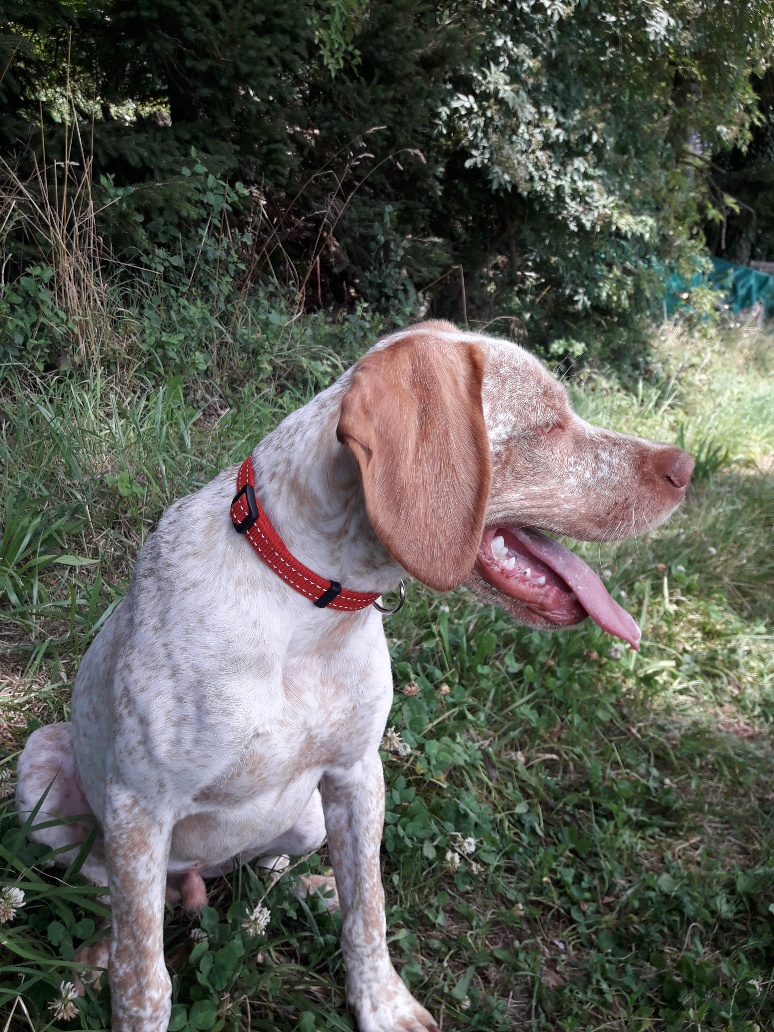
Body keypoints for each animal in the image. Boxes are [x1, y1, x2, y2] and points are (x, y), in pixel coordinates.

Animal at [18, 317, 697, 1027]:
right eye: (547, 423)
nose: (686, 467)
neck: (305, 612)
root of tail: (204, 877)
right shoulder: (139, 808)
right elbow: (144, 979)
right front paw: (124, 985)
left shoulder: (356, 773)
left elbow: (367, 909)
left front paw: (382, 1003)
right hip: (44, 781)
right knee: (113, 904)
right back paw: (93, 957)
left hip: (307, 816)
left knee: (268, 873)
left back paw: (309, 890)